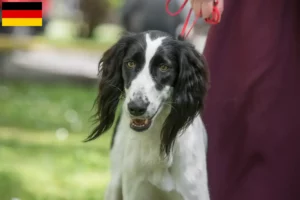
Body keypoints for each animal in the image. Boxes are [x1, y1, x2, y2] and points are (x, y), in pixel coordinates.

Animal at [85, 30, 210, 200]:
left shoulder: (194, 193)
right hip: (114, 185)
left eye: (164, 67)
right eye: (130, 63)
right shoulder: (136, 191)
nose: (136, 108)